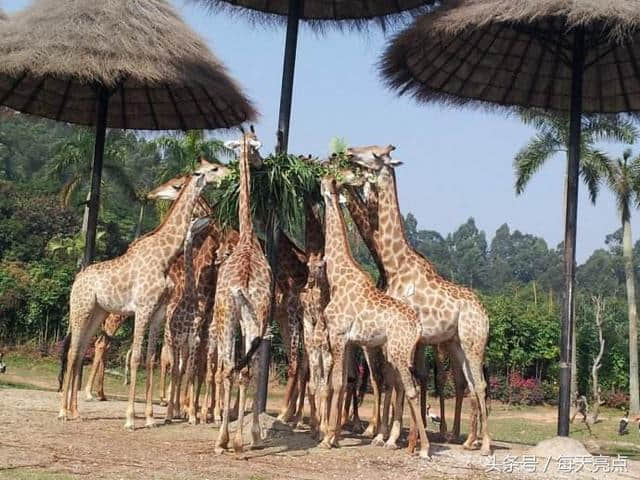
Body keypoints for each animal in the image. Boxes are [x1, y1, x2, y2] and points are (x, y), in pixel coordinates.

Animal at [58, 159, 231, 430]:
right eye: (213, 169)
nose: (230, 172)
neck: (165, 257)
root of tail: (77, 280)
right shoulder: (143, 307)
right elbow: (137, 357)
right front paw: (131, 418)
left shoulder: (158, 312)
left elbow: (151, 359)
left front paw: (150, 417)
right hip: (81, 308)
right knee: (73, 351)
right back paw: (63, 411)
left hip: (97, 312)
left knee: (81, 350)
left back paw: (75, 411)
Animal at [318, 169, 430, 458]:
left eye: (326, 179)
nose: (319, 181)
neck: (337, 275)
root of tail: (417, 326)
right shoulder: (347, 341)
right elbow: (342, 382)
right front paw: (335, 436)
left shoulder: (336, 334)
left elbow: (336, 382)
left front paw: (327, 438)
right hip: (397, 351)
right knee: (407, 385)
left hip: (398, 351)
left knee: (410, 388)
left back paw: (422, 447)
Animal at [348, 145, 492, 454]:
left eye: (376, 154)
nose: (350, 152)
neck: (394, 264)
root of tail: (485, 312)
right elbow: (395, 382)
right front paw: (393, 437)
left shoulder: (400, 336)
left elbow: (399, 382)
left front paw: (393, 438)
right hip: (457, 343)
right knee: (470, 383)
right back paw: (469, 441)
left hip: (474, 341)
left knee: (480, 384)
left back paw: (484, 444)